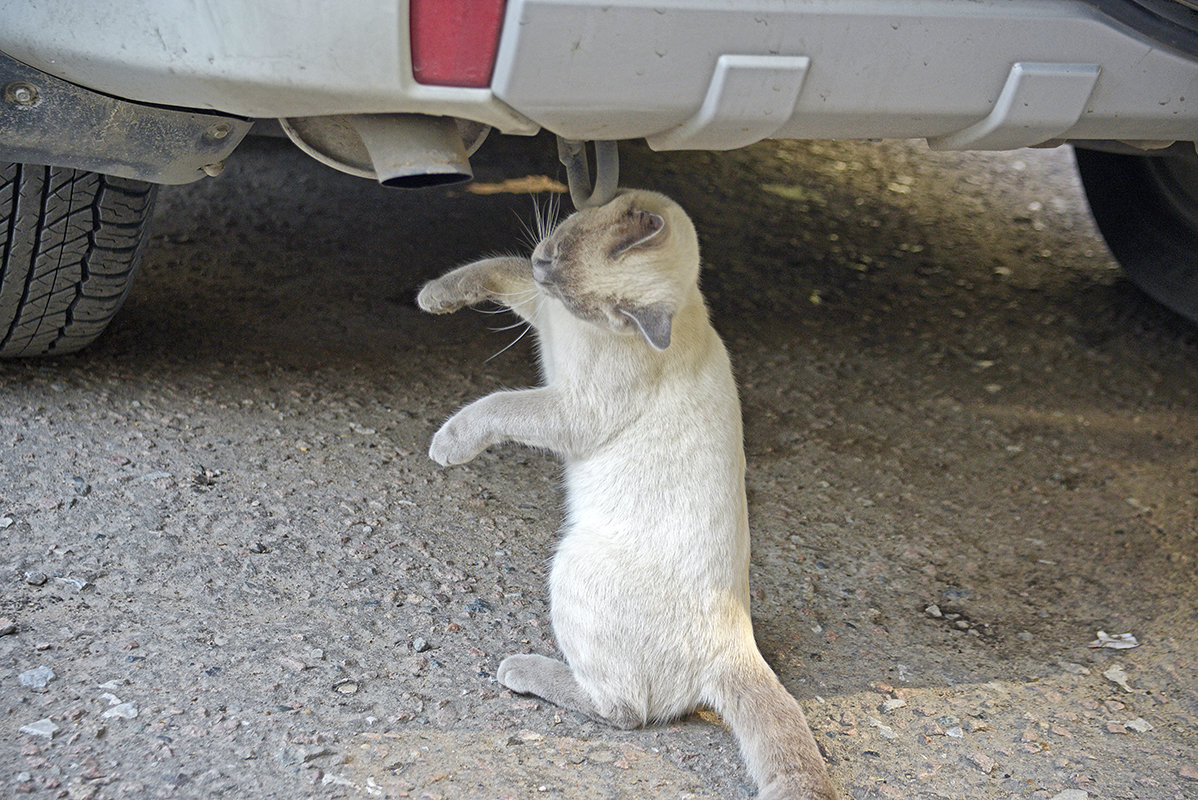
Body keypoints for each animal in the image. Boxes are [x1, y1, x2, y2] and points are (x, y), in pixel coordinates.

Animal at [416, 190, 838, 795]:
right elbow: (492, 267)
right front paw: (433, 296)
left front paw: (446, 445)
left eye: (586, 301)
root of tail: (739, 643)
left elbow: (497, 405)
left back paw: (524, 669)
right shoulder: (540, 310)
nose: (544, 269)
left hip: (575, 564)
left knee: (625, 712)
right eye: (554, 255)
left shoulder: (568, 408)